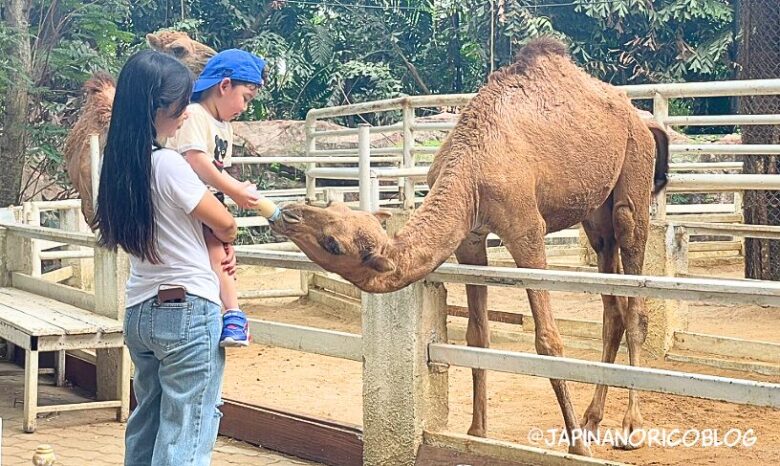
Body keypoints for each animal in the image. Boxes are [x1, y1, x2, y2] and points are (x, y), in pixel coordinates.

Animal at [270, 38, 672, 456]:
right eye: (331, 210)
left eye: (332, 242)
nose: (285, 214)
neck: (468, 167)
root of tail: (643, 120)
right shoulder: (469, 239)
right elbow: (477, 336)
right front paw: (476, 432)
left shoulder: (527, 230)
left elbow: (548, 341)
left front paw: (577, 448)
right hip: (596, 213)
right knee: (612, 306)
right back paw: (594, 421)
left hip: (633, 174)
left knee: (635, 298)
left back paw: (629, 427)